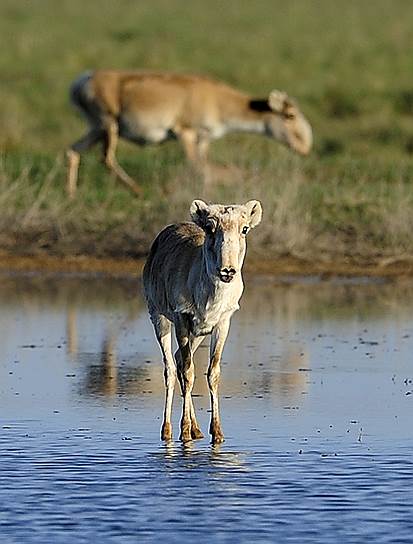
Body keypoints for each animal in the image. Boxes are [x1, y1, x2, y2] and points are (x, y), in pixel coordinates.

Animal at [67, 70, 312, 197]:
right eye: (290, 115)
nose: (306, 148)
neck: (218, 99)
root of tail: (82, 81)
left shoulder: (204, 139)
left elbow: (205, 168)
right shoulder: (186, 133)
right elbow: (198, 167)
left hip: (96, 128)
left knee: (73, 151)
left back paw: (71, 194)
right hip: (108, 125)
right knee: (106, 157)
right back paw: (138, 191)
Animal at [143, 198, 262, 444]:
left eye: (245, 229)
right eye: (209, 227)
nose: (227, 270)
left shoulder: (222, 323)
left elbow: (212, 373)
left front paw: (217, 433)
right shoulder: (181, 318)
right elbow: (189, 373)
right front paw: (184, 431)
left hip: (197, 334)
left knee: (179, 360)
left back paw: (197, 429)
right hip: (159, 317)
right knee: (171, 368)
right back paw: (168, 430)